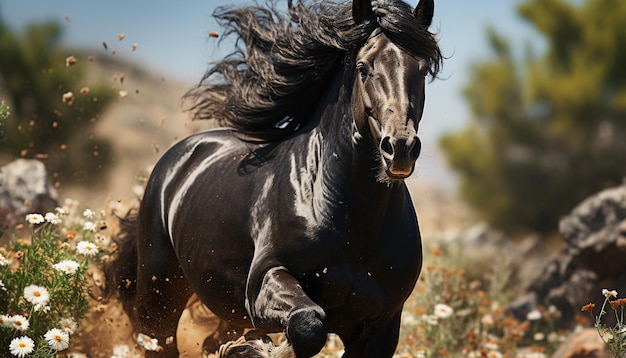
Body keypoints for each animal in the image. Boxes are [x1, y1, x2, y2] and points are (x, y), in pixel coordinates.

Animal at [107, 0, 438, 356]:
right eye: (364, 66)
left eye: (422, 69)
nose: (400, 147)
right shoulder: (264, 282)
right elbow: (308, 325)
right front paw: (258, 349)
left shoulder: (380, 329)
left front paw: (248, 347)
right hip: (159, 300)